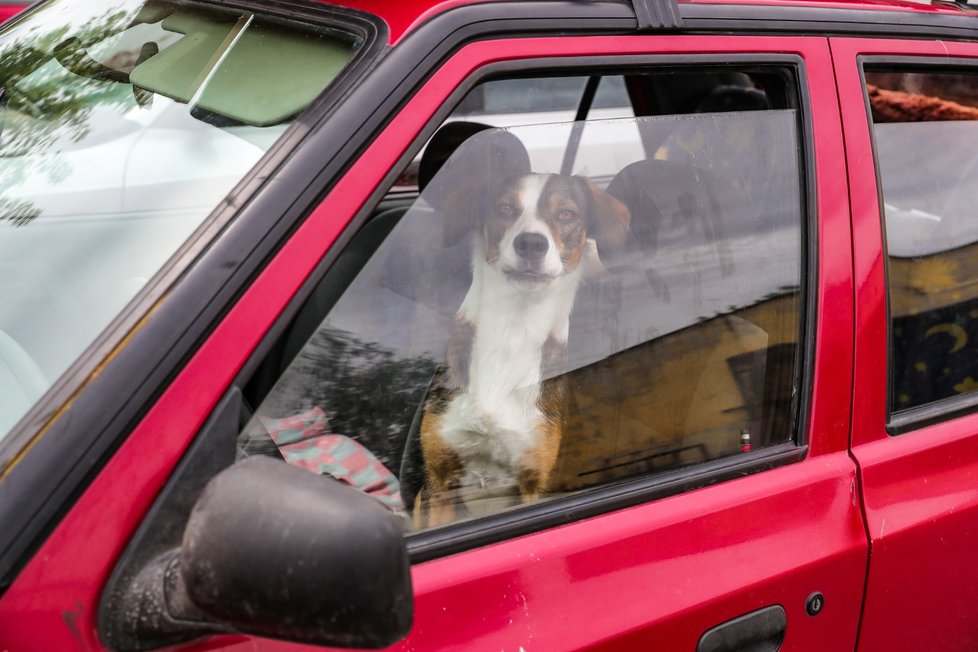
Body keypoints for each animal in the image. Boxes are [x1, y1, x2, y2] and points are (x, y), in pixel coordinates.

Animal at [414, 171, 632, 528]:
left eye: (566, 214)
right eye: (504, 208)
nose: (531, 243)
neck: (512, 331)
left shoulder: (538, 482)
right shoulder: (439, 480)